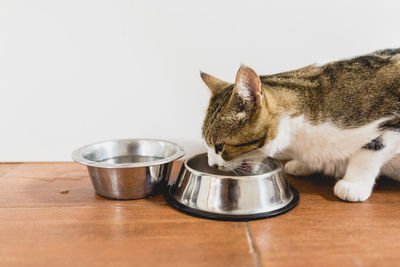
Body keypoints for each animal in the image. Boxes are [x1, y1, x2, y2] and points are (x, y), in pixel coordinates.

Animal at [200, 48, 400, 203]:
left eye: (220, 147)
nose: (211, 164)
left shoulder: (393, 125)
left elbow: (367, 154)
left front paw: (354, 184)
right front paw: (303, 164)